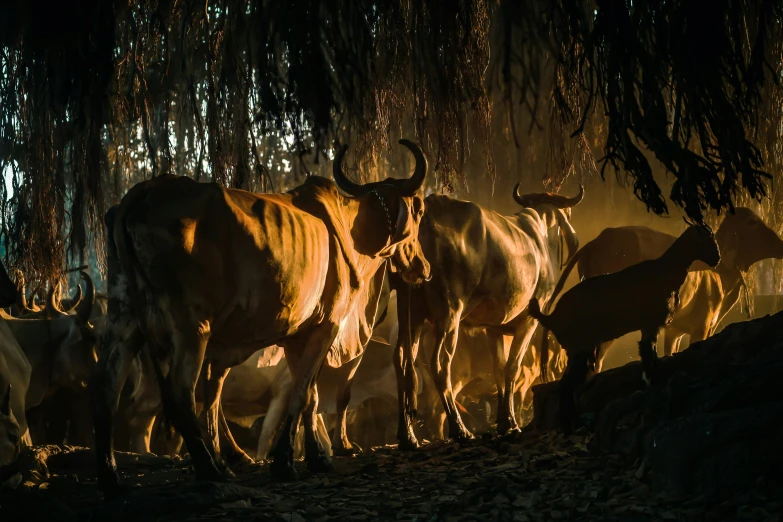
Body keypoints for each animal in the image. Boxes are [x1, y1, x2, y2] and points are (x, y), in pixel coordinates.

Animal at [94, 139, 432, 496]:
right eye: (420, 210)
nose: (423, 267)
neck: (352, 230)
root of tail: (144, 191)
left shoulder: (298, 335)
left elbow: (309, 396)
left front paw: (317, 458)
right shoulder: (327, 326)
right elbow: (302, 392)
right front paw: (286, 463)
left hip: (124, 319)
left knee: (106, 387)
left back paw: (112, 477)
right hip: (191, 326)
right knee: (181, 390)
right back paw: (211, 470)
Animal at [396, 184, 584, 446]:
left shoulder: (493, 327)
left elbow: (499, 368)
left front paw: (504, 420)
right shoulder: (528, 321)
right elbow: (512, 367)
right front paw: (512, 422)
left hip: (410, 314)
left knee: (402, 361)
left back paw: (408, 436)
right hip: (449, 315)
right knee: (441, 365)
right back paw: (460, 430)